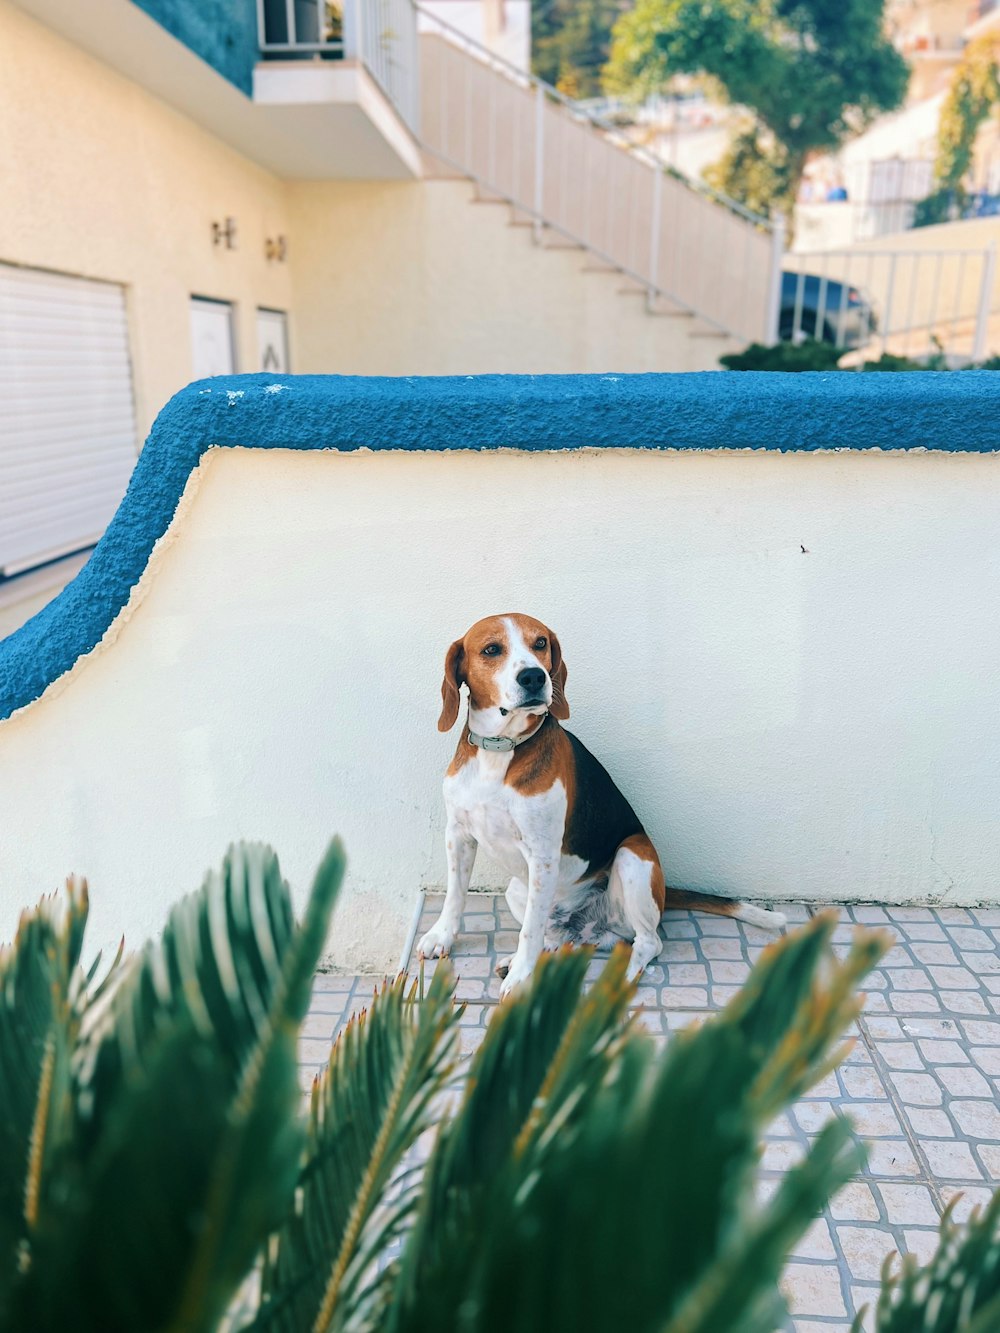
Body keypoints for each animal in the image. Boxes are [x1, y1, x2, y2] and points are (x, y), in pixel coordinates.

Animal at [418, 610, 789, 991]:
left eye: (541, 643)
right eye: (492, 649)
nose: (534, 676)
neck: (500, 749)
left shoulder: (543, 853)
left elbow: (529, 931)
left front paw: (522, 979)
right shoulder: (458, 834)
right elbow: (456, 895)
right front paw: (442, 936)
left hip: (632, 857)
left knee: (648, 942)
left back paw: (618, 978)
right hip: (517, 890)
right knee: (556, 935)